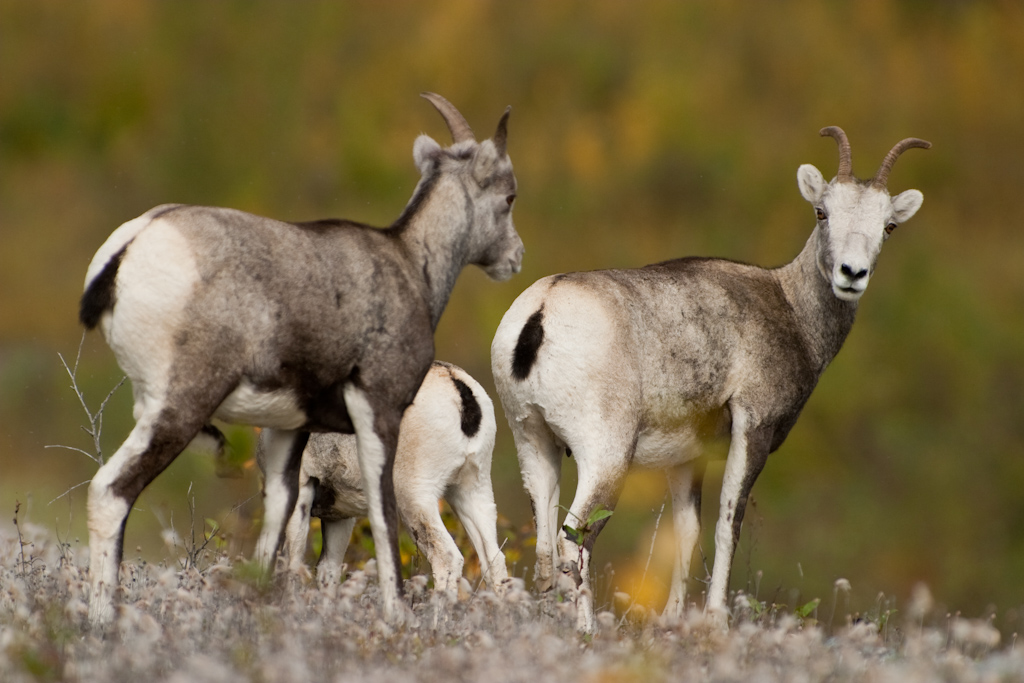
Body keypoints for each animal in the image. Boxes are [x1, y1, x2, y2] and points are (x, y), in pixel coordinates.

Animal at [258, 360, 509, 589]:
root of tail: (455, 384)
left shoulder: (300, 491)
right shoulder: (339, 516)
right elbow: (327, 571)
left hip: (415, 502)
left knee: (446, 557)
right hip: (471, 494)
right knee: (494, 562)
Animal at [491, 126, 933, 630]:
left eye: (888, 226)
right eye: (822, 212)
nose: (851, 274)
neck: (790, 308)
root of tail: (541, 313)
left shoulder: (687, 458)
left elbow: (687, 533)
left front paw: (672, 620)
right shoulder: (753, 428)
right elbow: (727, 525)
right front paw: (717, 619)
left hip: (533, 442)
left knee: (547, 547)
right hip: (605, 458)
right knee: (575, 541)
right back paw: (585, 630)